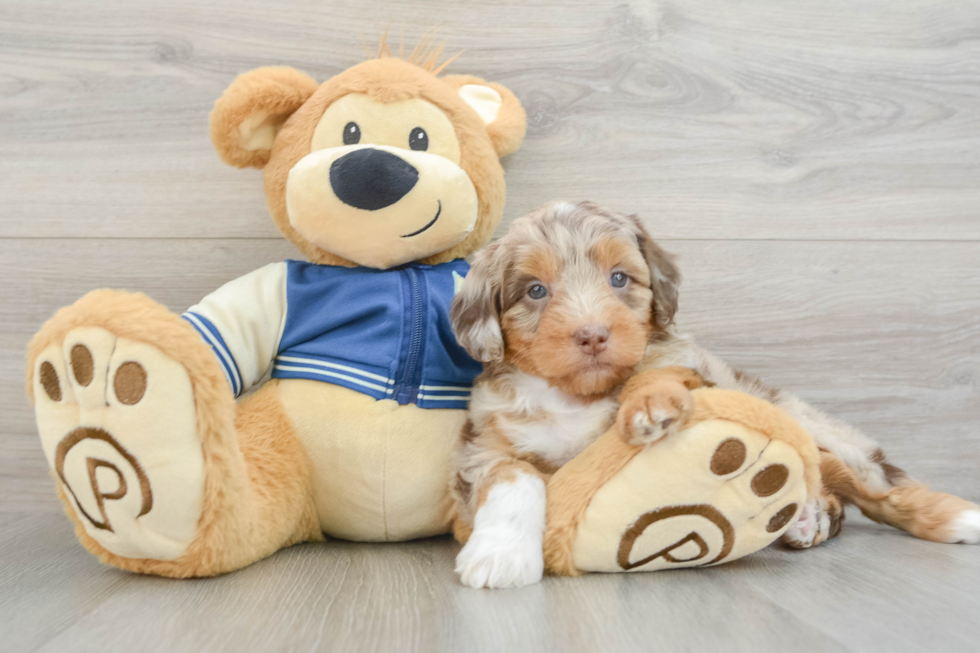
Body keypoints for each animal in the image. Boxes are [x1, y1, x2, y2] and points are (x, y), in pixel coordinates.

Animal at [448, 197, 976, 584]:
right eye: (535, 291)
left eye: (619, 278)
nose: (593, 335)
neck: (575, 394)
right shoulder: (484, 446)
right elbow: (513, 479)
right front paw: (501, 556)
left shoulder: (686, 365)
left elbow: (655, 372)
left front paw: (650, 406)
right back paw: (806, 517)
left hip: (816, 431)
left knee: (875, 487)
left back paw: (954, 519)